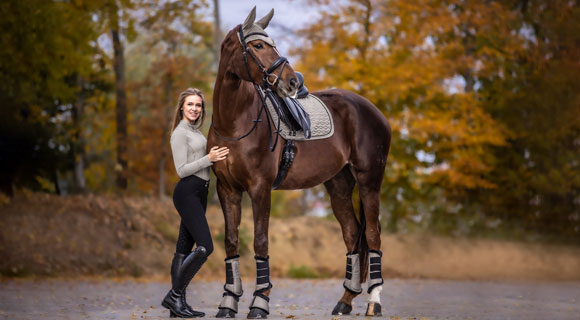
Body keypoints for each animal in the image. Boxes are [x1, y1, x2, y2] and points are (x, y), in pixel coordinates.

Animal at [206, 6, 392, 318]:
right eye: (258, 45)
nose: (292, 82)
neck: (235, 122)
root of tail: (373, 111)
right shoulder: (227, 189)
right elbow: (231, 242)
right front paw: (228, 303)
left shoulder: (260, 188)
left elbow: (260, 240)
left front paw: (260, 303)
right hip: (338, 186)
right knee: (352, 234)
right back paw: (344, 301)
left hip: (369, 183)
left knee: (373, 236)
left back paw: (374, 303)